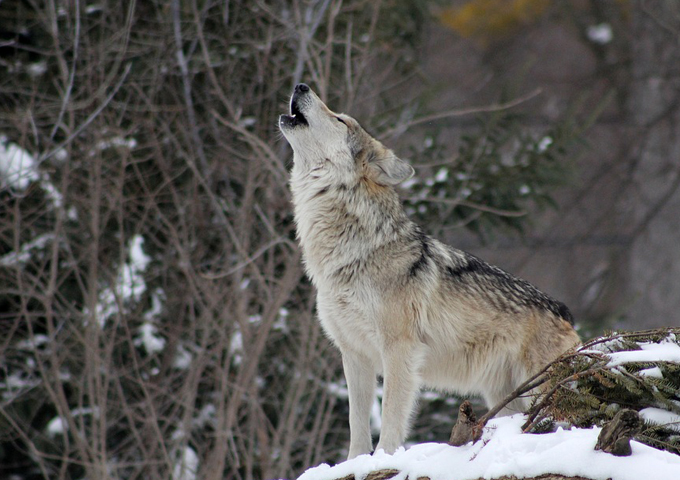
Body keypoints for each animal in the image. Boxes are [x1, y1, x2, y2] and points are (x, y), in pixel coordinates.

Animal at [276, 84, 580, 460]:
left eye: (340, 119)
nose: (300, 86)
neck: (352, 253)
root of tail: (565, 312)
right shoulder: (354, 355)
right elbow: (356, 424)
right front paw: (355, 463)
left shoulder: (399, 350)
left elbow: (391, 416)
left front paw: (385, 458)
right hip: (506, 398)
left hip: (539, 390)